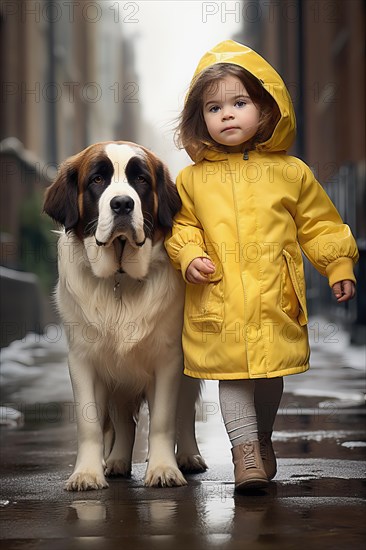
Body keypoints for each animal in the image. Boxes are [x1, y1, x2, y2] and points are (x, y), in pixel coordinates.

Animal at [43, 141, 206, 492]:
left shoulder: (169, 360)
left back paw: (188, 457)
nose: (121, 203)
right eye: (97, 179)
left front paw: (163, 469)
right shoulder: (83, 360)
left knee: (185, 413)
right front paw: (87, 473)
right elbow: (90, 422)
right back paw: (116, 461)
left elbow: (163, 419)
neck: (119, 280)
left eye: (140, 180)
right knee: (123, 420)